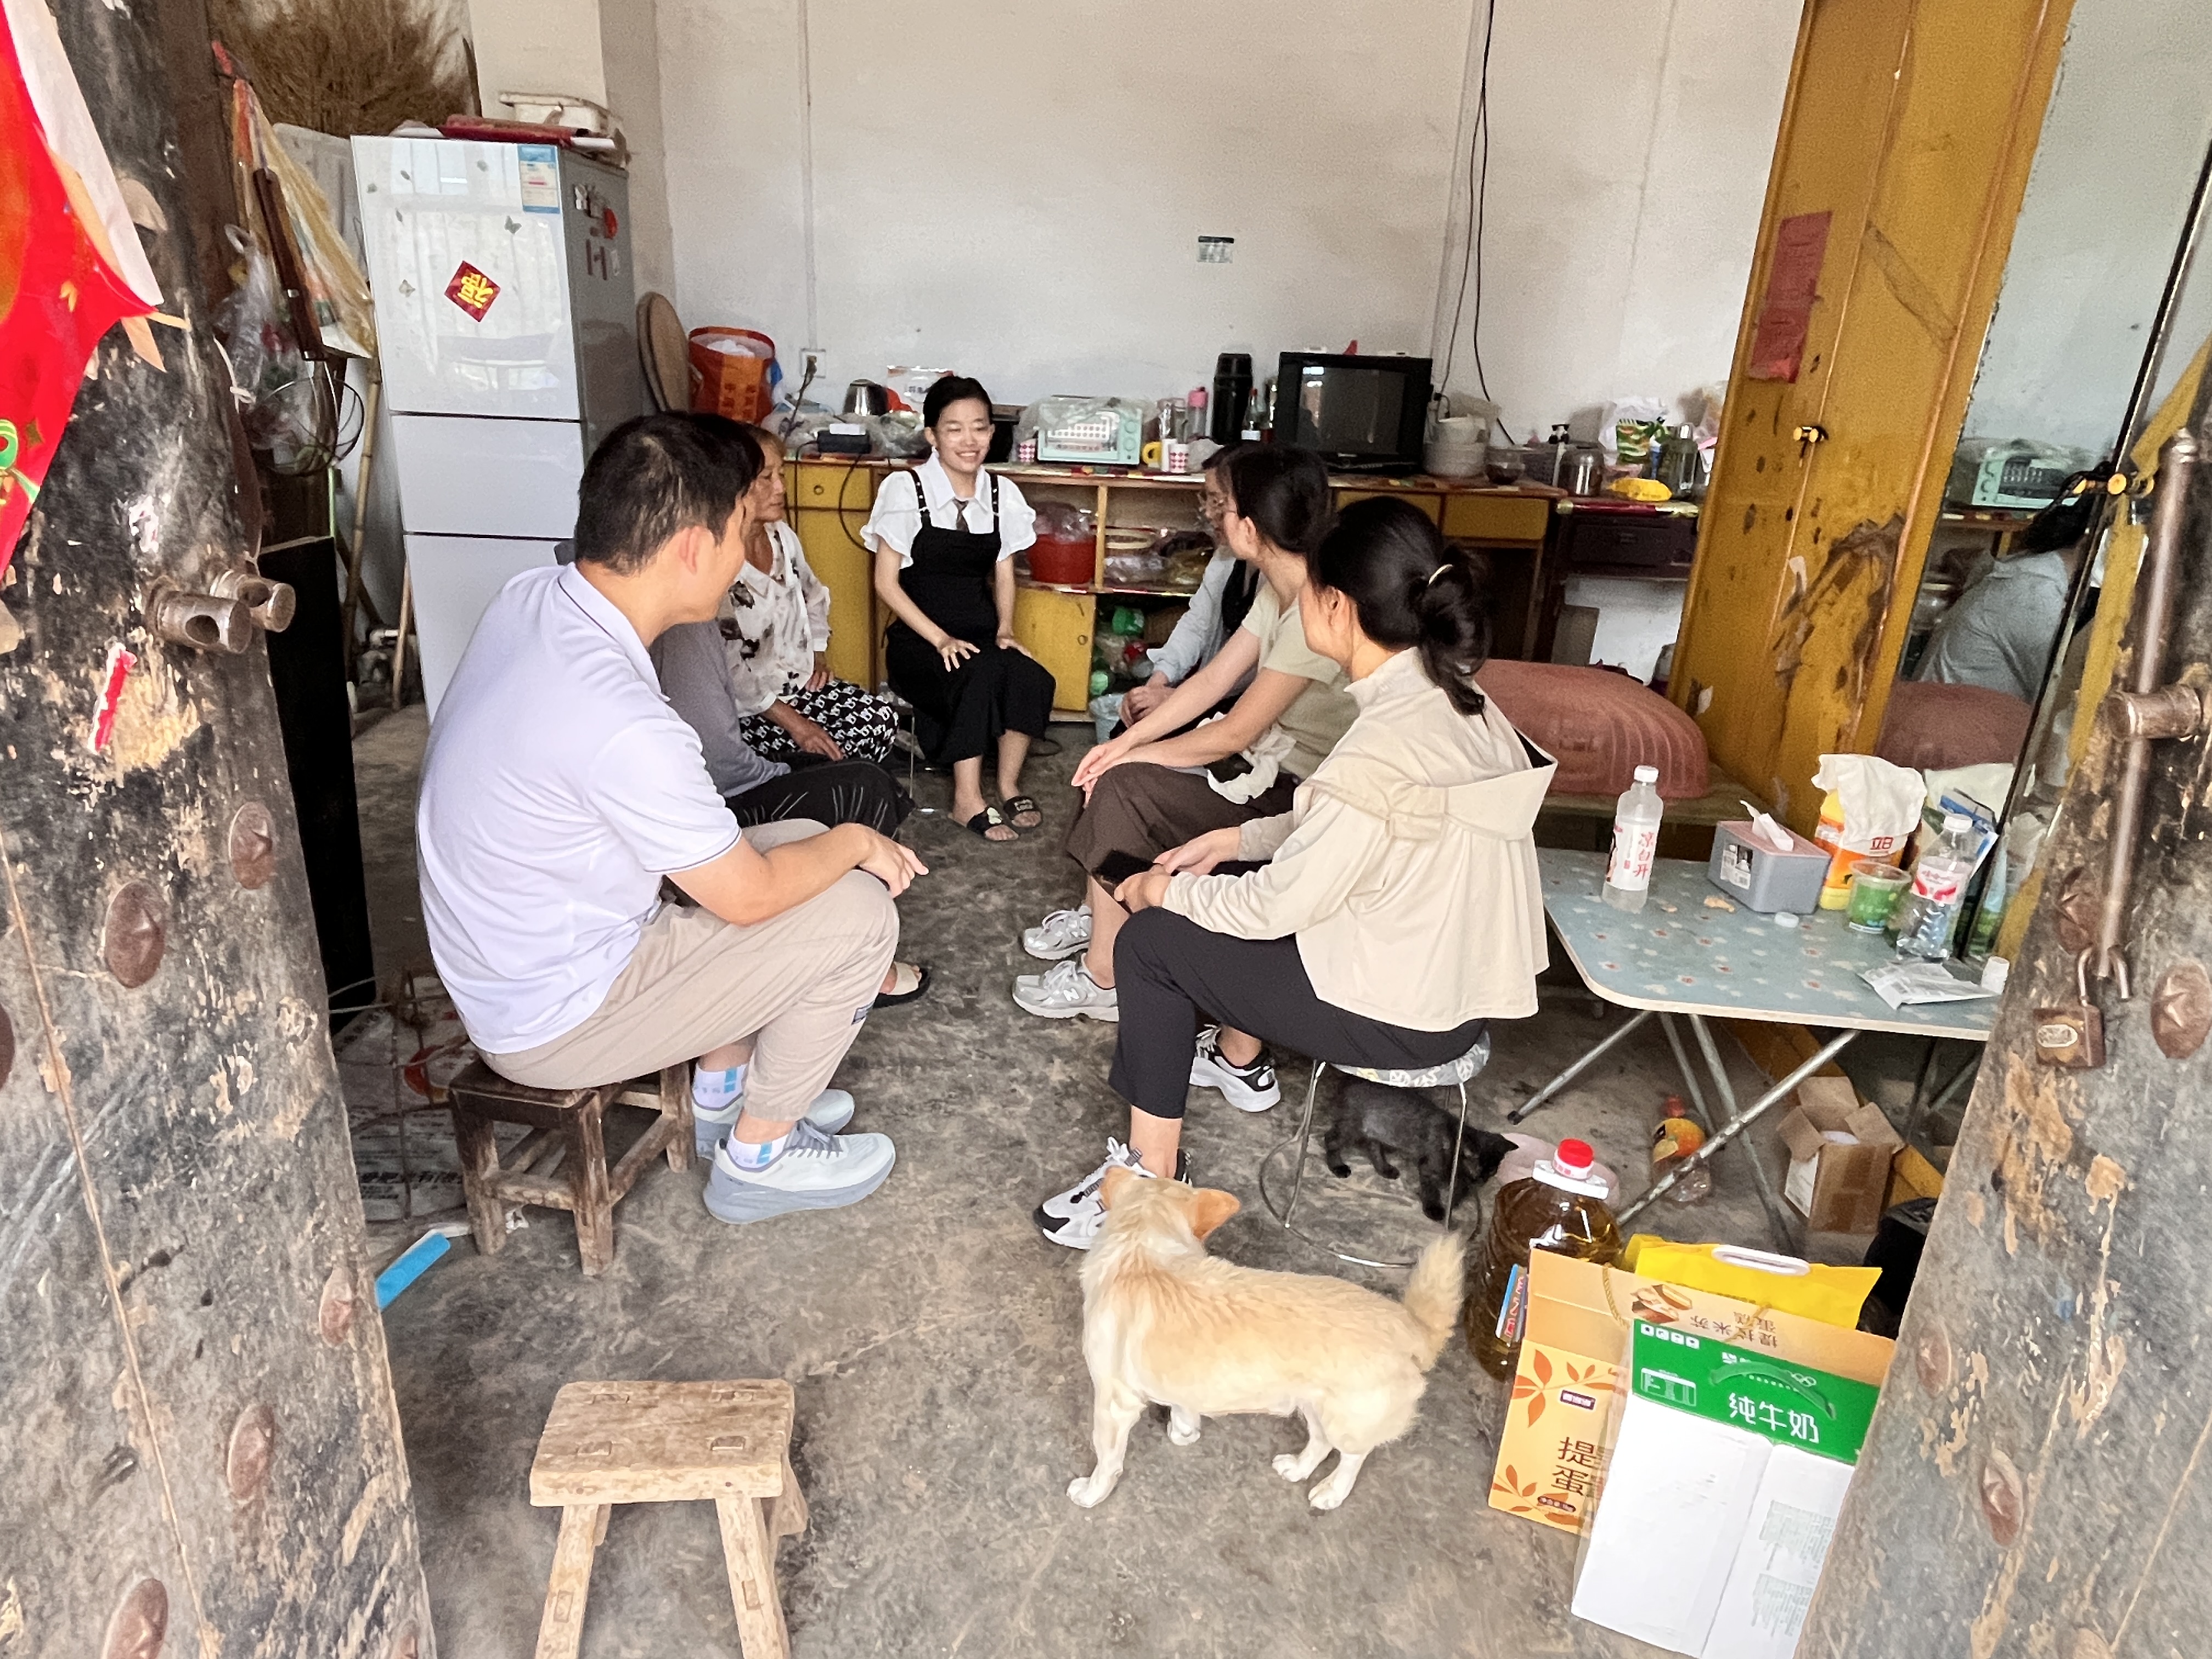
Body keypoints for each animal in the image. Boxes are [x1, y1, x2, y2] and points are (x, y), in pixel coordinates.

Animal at [1067, 1167, 1463, 1512]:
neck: (1139, 1245)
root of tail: (1409, 1324)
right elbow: (1184, 1406)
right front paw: (1184, 1432)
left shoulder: (1114, 1403)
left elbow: (1107, 1458)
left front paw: (1092, 1492)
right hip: (1314, 1405)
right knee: (1320, 1443)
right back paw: (1298, 1468)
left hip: (1347, 1420)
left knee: (1353, 1456)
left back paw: (1332, 1492)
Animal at [1322, 1079, 1514, 1223]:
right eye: (1477, 1168)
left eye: (1492, 1170)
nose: (1482, 1180)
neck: (1454, 1142)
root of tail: (1350, 1082)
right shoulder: (1430, 1168)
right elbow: (1432, 1191)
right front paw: (1434, 1209)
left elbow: (1458, 1192)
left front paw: (1452, 1205)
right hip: (1352, 1127)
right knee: (1331, 1139)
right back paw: (1338, 1167)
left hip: (1378, 1130)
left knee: (1373, 1147)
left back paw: (1385, 1169)